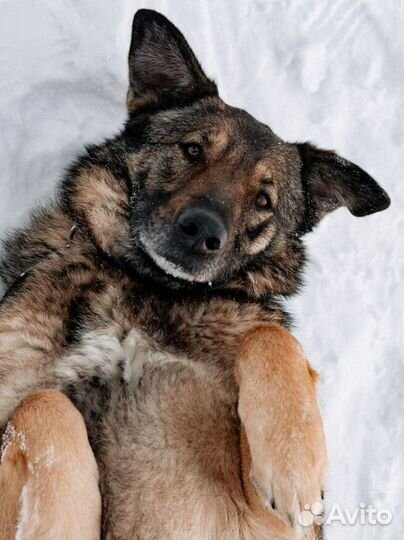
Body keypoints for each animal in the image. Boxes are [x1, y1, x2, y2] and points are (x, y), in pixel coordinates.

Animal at [0, 8, 392, 540]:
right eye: (191, 151)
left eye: (263, 200)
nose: (203, 230)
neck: (147, 284)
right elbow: (42, 405)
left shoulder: (272, 522)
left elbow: (268, 337)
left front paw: (295, 468)